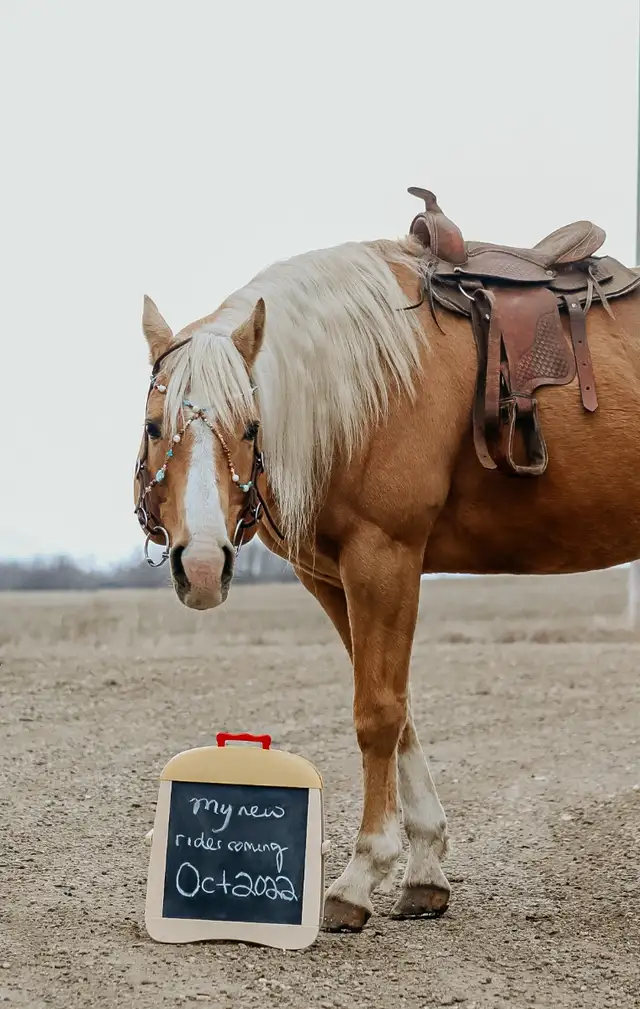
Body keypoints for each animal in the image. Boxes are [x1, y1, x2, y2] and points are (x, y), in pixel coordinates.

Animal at [133, 205, 640, 933]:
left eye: (252, 427)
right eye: (155, 427)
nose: (201, 567)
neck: (359, 381)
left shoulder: (384, 556)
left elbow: (375, 714)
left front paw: (359, 875)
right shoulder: (332, 576)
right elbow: (398, 714)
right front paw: (425, 868)